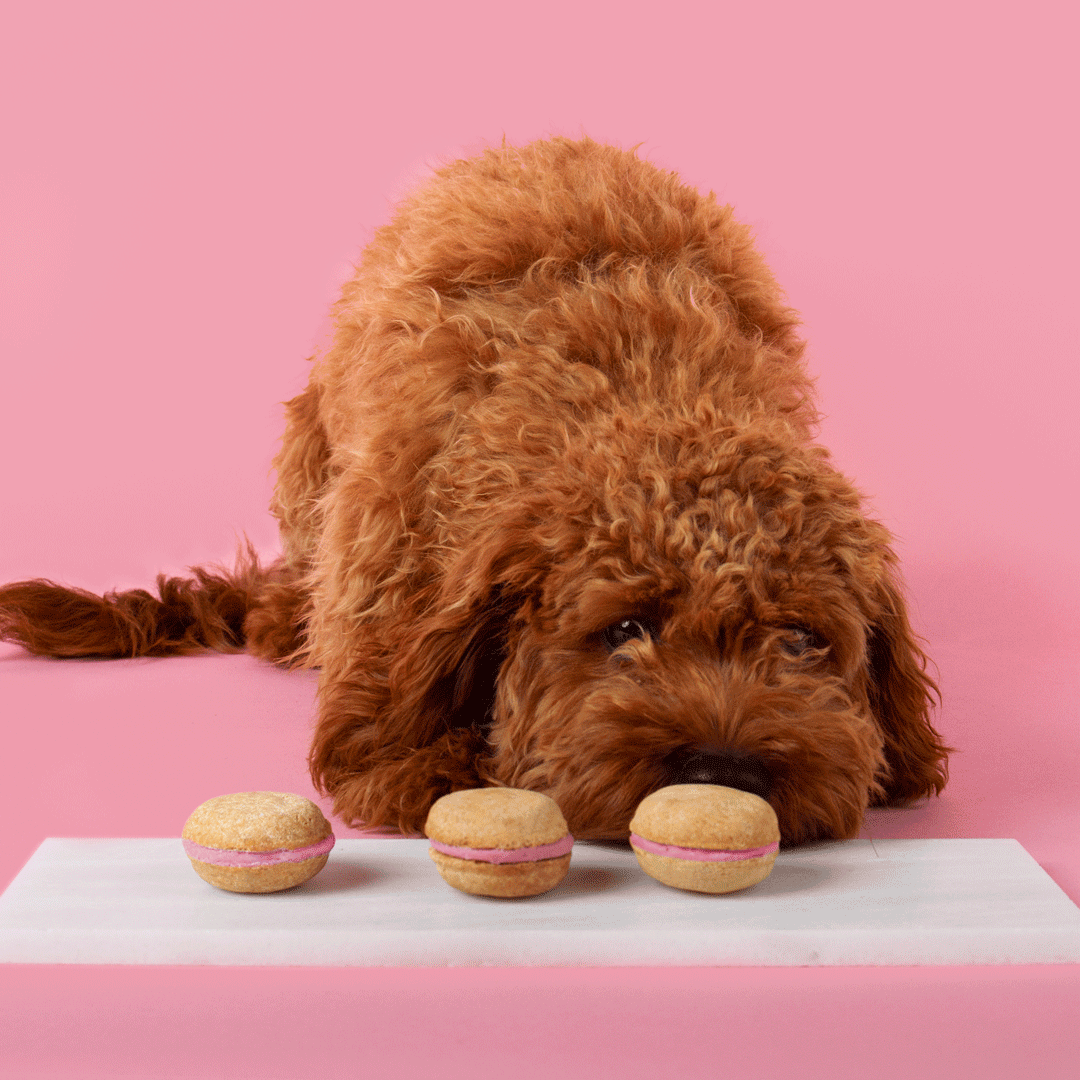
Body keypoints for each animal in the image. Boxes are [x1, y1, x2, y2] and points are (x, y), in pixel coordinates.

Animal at [0, 135, 946, 842]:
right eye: (624, 630)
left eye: (802, 640)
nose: (726, 771)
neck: (636, 381)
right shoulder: (381, 615)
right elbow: (395, 757)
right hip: (303, 455)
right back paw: (282, 617)